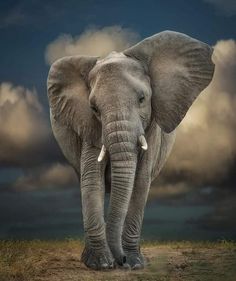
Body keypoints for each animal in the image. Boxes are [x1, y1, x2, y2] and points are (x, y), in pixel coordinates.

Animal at [47, 30, 215, 270]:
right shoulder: (88, 125)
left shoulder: (152, 126)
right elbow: (92, 179)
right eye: (94, 108)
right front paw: (101, 264)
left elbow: (141, 180)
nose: (122, 261)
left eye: (142, 99)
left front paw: (135, 263)